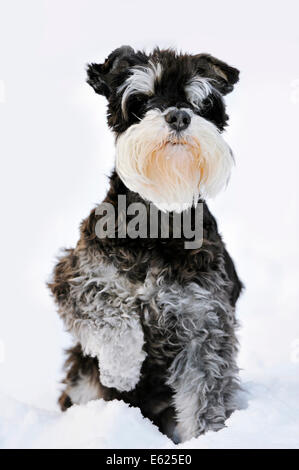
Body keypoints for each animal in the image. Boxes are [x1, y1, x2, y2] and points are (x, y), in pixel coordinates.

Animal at [48, 46, 244, 442]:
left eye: (200, 102)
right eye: (140, 100)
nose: (179, 115)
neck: (157, 222)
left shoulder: (205, 324)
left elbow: (204, 395)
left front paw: (207, 436)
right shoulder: (75, 275)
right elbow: (110, 311)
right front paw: (123, 370)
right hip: (82, 376)